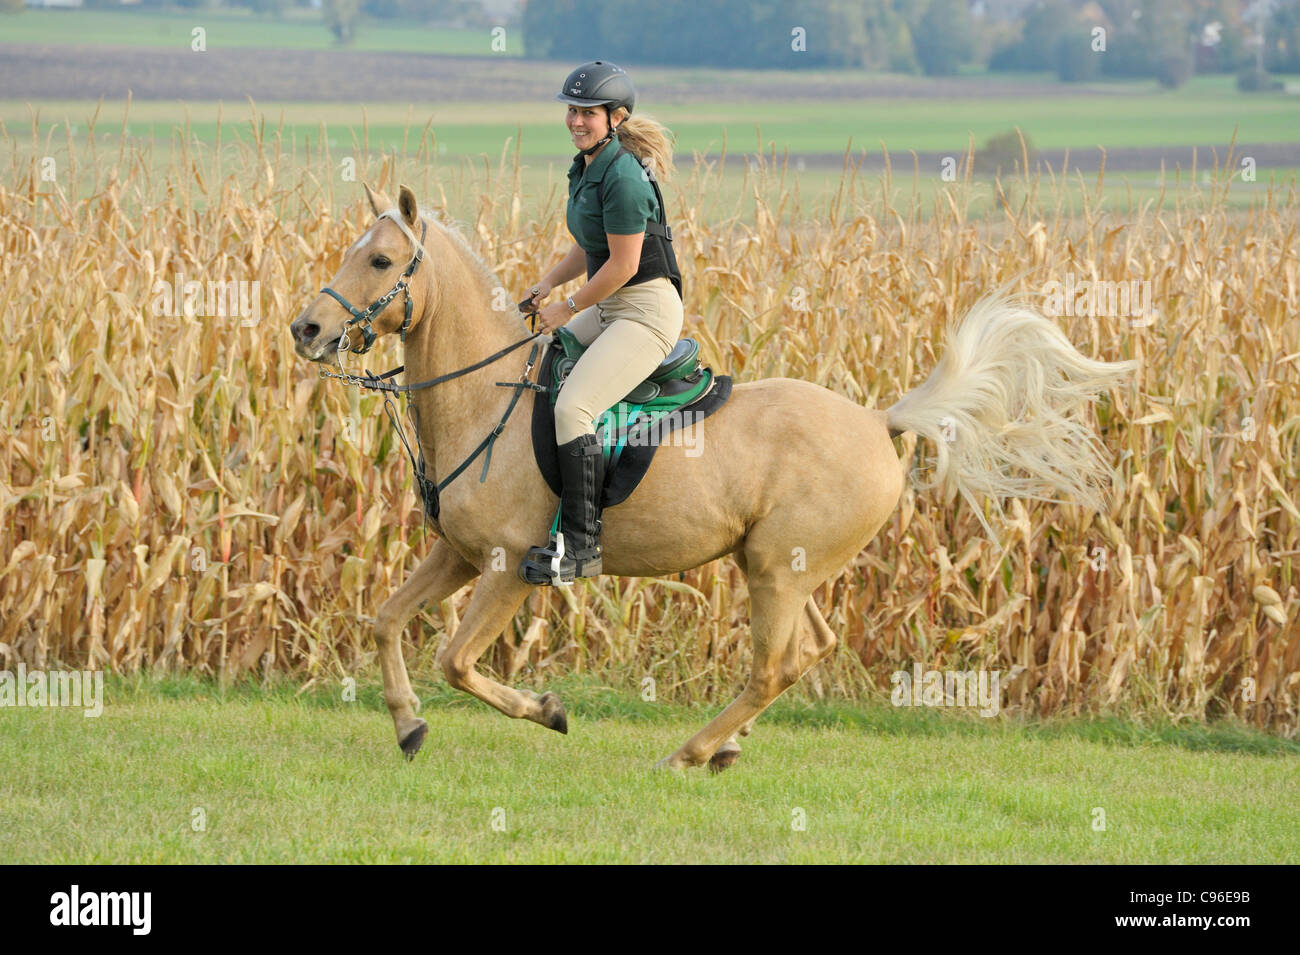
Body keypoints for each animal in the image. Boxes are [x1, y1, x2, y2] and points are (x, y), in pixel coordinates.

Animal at [289, 183, 1136, 772]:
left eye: (381, 260)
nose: (307, 328)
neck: (480, 397)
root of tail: (879, 421)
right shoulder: (458, 554)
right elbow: (385, 619)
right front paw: (408, 725)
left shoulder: (504, 568)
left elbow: (457, 661)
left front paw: (550, 707)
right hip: (781, 566)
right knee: (809, 649)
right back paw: (726, 745)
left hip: (775, 571)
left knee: (773, 666)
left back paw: (688, 752)